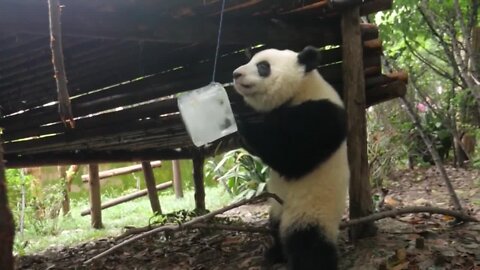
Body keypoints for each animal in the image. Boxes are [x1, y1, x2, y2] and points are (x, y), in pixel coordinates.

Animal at [232, 46, 348, 270]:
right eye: (250, 61)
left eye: (263, 67)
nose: (236, 74)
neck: (302, 88)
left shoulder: (323, 115)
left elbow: (292, 157)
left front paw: (241, 125)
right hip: (279, 207)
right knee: (276, 228)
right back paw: (275, 253)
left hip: (311, 209)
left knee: (308, 243)